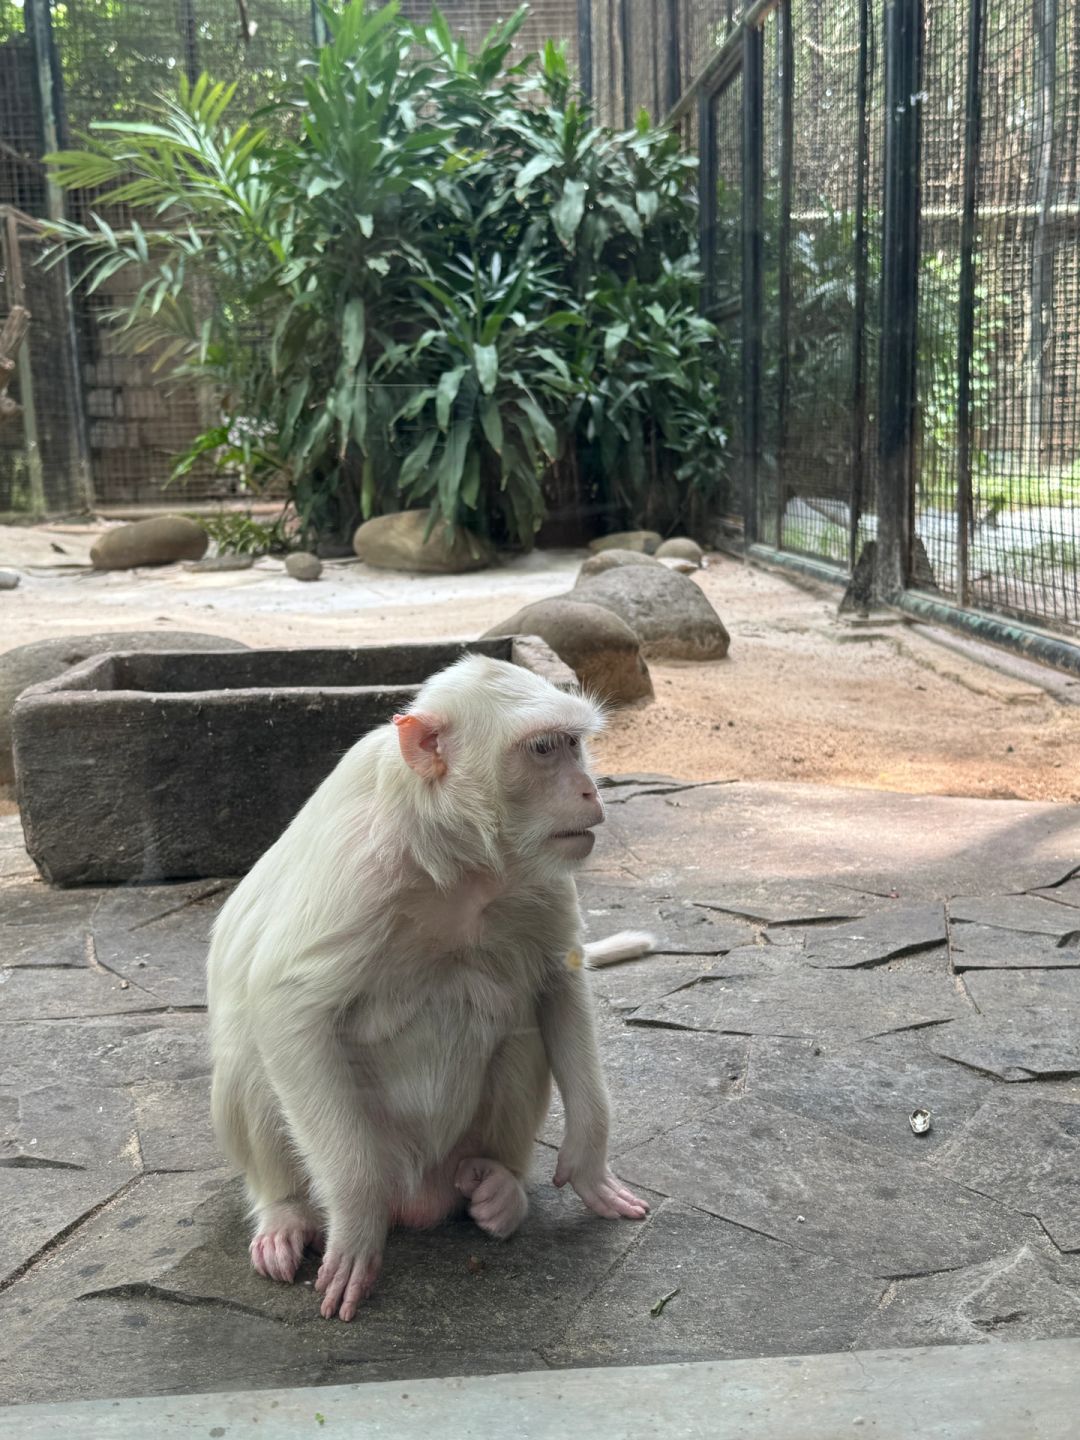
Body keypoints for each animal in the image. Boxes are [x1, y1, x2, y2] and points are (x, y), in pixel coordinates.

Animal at [208, 659, 650, 1319]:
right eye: (543, 749)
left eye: (574, 745)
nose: (591, 791)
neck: (463, 860)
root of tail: (418, 1200)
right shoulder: (360, 867)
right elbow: (286, 1005)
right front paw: (355, 1221)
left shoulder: (539, 876)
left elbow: (557, 980)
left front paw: (589, 1158)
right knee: (249, 1058)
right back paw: (286, 1211)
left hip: (455, 1156)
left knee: (522, 1028)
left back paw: (501, 1188)